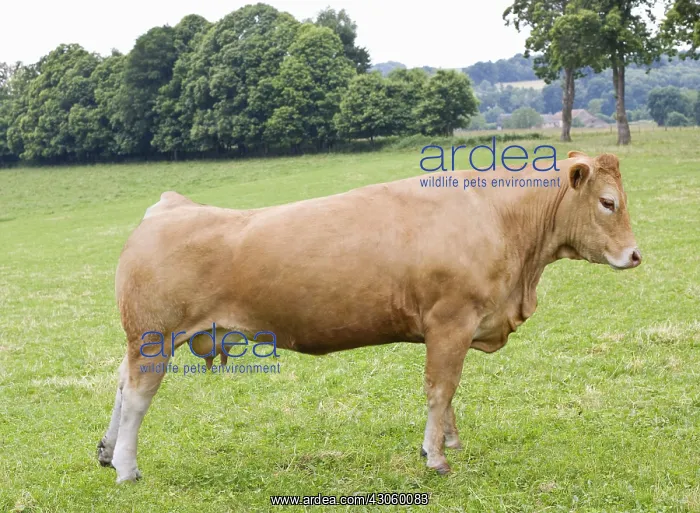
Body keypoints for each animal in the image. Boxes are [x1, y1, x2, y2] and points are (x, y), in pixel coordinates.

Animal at [97, 150, 641, 483]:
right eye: (608, 202)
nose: (635, 255)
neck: (498, 219)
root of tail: (170, 207)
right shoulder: (450, 321)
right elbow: (440, 388)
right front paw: (436, 456)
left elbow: (449, 393)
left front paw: (449, 440)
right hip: (153, 336)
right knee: (139, 396)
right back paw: (126, 466)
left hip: (142, 340)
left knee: (122, 384)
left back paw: (105, 451)